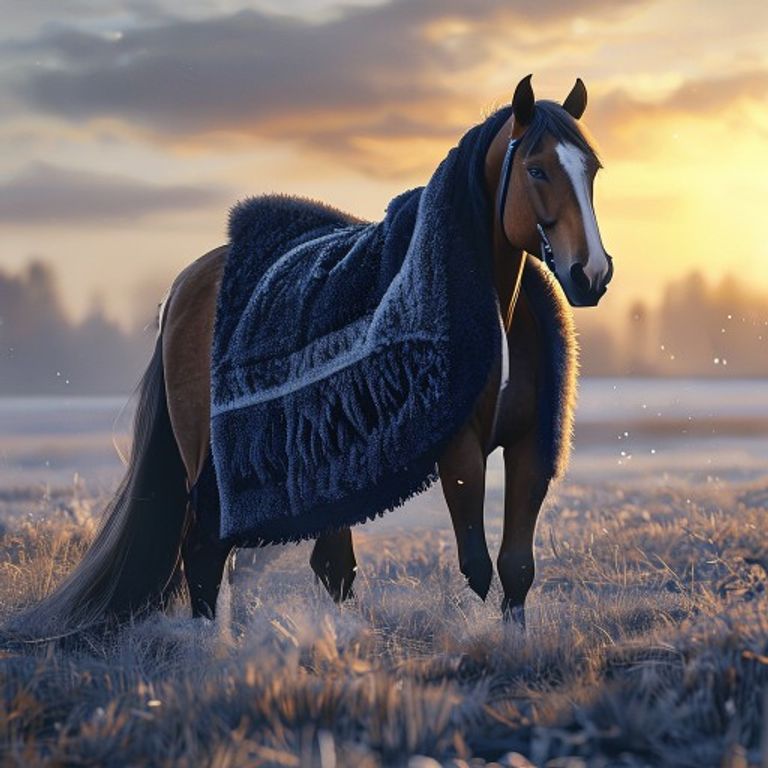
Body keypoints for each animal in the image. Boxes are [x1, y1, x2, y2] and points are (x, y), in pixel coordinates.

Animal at [17, 75, 612, 636]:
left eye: (592, 169)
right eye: (536, 170)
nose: (591, 273)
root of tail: (186, 284)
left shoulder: (529, 446)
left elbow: (515, 569)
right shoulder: (459, 448)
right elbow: (478, 567)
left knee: (321, 565)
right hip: (209, 463)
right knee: (206, 555)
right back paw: (213, 650)